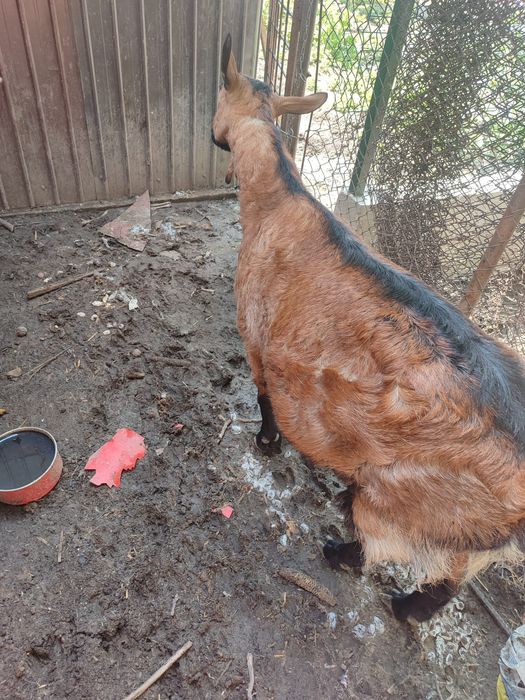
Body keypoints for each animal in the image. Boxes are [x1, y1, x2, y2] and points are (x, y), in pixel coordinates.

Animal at [212, 34, 525, 622]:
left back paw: (357, 567)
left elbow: (264, 395)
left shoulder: (255, 334)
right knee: (454, 574)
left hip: (413, 496)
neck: (280, 203)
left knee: (400, 551)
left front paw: (267, 443)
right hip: (468, 531)